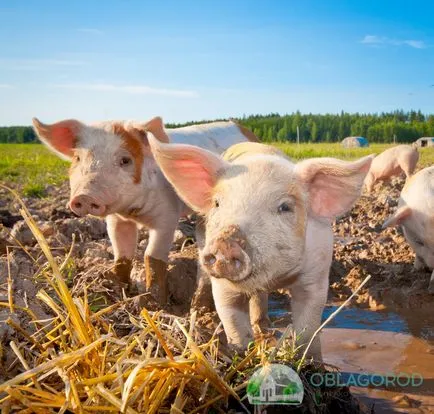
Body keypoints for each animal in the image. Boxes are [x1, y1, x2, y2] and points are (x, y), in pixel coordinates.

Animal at [34, 115, 258, 302]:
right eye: (78, 159)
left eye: (125, 160)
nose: (85, 196)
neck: (134, 212)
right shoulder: (117, 220)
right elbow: (122, 253)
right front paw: (118, 288)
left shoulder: (167, 216)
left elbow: (152, 256)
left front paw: (155, 303)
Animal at [148, 131, 372, 360]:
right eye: (217, 203)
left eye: (285, 207)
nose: (225, 243)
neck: (275, 278)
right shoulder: (223, 286)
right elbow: (232, 319)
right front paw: (241, 352)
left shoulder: (316, 274)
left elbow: (308, 325)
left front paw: (311, 361)